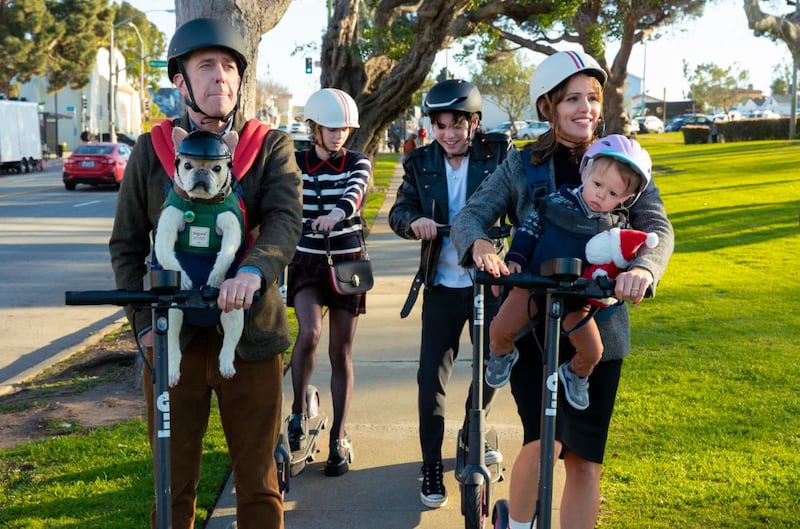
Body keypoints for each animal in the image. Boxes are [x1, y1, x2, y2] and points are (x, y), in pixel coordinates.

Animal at [155, 126, 244, 386]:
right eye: (187, 165)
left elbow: (226, 252)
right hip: (172, 312)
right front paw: (184, 277)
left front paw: (214, 275)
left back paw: (226, 365)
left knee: (229, 342)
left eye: (217, 168)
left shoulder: (231, 227)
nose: (202, 171)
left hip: (234, 310)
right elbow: (166, 253)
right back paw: (172, 370)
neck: (203, 204)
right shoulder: (166, 228)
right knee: (172, 343)